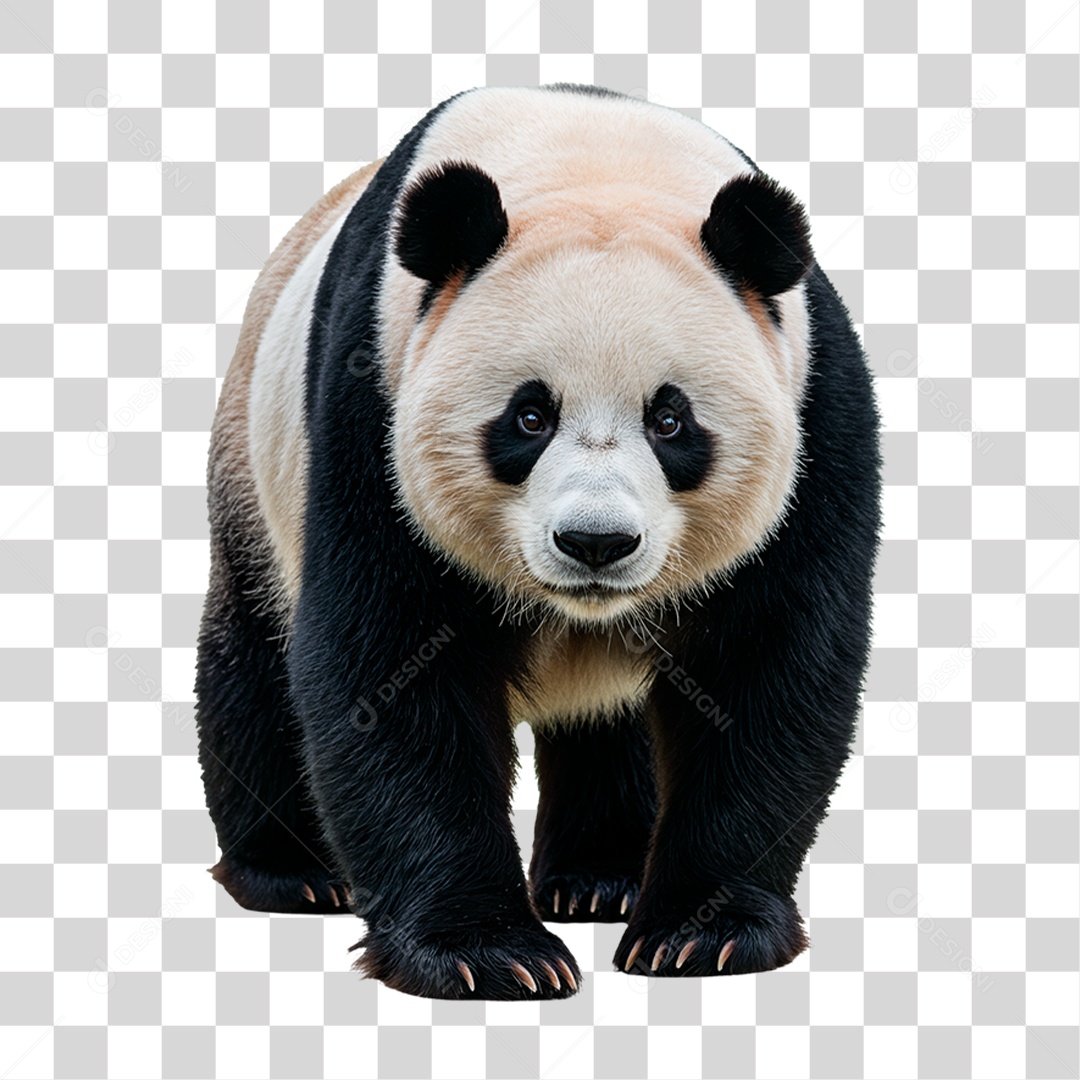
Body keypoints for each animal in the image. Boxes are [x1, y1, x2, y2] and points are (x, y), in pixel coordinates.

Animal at [196, 82, 881, 1000]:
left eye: (670, 420)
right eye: (529, 416)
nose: (596, 543)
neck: (593, 157)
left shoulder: (815, 417)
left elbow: (767, 673)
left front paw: (701, 935)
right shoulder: (370, 405)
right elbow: (389, 667)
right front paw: (486, 953)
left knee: (606, 717)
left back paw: (600, 879)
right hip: (256, 464)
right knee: (256, 659)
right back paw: (294, 873)